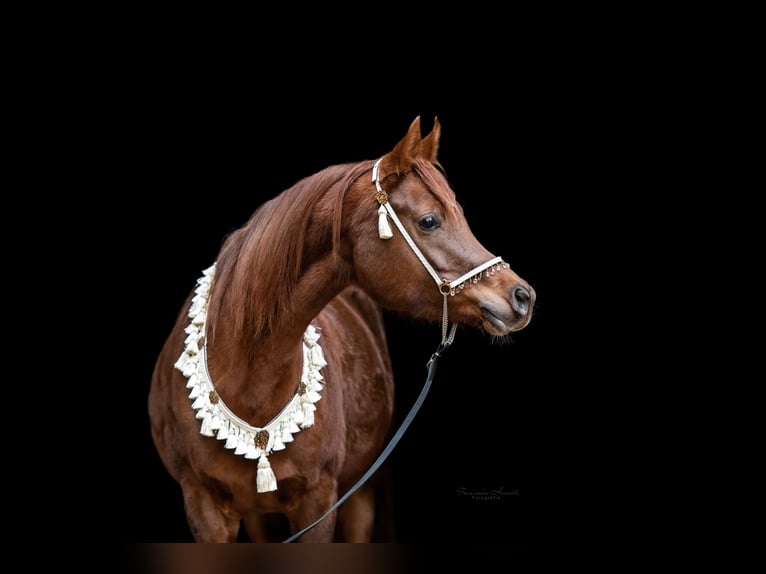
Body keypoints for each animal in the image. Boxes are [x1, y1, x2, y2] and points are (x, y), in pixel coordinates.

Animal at [148, 116, 536, 543]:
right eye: (429, 221)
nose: (522, 296)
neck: (248, 376)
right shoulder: (203, 506)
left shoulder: (320, 499)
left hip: (362, 493)